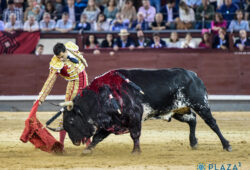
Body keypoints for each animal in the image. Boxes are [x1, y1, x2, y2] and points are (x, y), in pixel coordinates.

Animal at [59, 68, 231, 153]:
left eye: (72, 121)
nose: (74, 141)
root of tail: (194, 75)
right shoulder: (113, 121)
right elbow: (97, 137)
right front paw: (87, 150)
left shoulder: (135, 116)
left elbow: (135, 135)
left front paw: (136, 151)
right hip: (177, 110)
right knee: (193, 120)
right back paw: (193, 142)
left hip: (200, 104)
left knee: (212, 123)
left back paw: (226, 145)